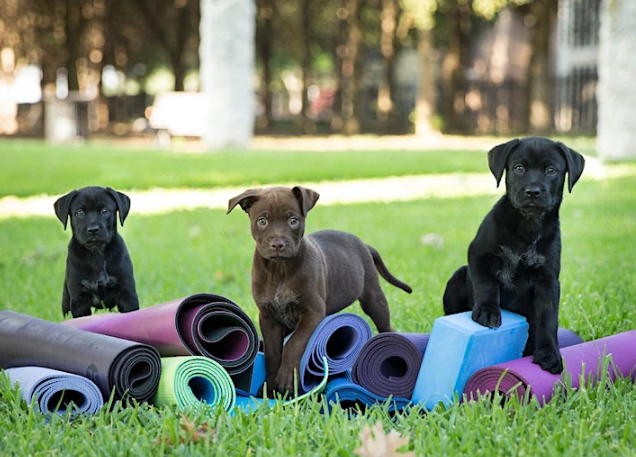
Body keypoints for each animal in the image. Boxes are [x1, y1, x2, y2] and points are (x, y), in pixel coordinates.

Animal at [54, 185, 139, 318]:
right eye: (80, 213)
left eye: (105, 211)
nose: (93, 229)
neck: (96, 253)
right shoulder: (79, 301)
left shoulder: (127, 294)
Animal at [442, 137, 588, 372]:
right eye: (519, 168)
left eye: (551, 170)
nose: (533, 192)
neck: (528, 225)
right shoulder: (478, 254)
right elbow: (487, 284)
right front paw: (488, 312)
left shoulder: (548, 280)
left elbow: (548, 318)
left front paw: (549, 353)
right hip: (458, 276)